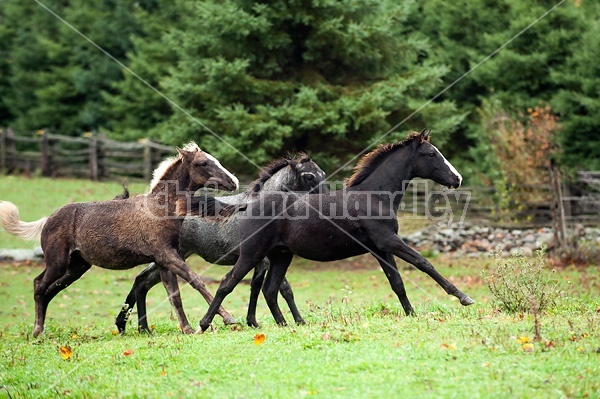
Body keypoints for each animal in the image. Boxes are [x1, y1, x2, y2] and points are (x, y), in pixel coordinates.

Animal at [0, 144, 239, 338]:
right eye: (203, 162)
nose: (234, 181)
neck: (160, 208)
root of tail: (46, 220)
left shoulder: (164, 259)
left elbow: (174, 294)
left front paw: (188, 328)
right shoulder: (166, 255)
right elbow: (195, 281)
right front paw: (227, 320)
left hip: (77, 267)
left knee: (49, 290)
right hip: (57, 263)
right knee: (39, 285)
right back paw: (37, 332)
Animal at [114, 154, 326, 334]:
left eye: (322, 174)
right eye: (309, 176)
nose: (326, 198)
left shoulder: (260, 261)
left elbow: (258, 287)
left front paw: (255, 321)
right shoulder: (263, 259)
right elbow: (282, 288)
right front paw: (297, 320)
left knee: (142, 281)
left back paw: (135, 327)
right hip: (173, 257)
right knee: (143, 281)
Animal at [197, 130, 474, 332]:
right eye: (431, 153)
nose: (457, 178)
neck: (374, 196)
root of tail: (248, 204)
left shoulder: (380, 249)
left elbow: (397, 283)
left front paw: (411, 314)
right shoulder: (389, 241)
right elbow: (424, 263)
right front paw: (463, 297)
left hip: (280, 256)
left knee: (270, 289)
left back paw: (286, 325)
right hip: (252, 253)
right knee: (228, 283)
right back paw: (204, 324)